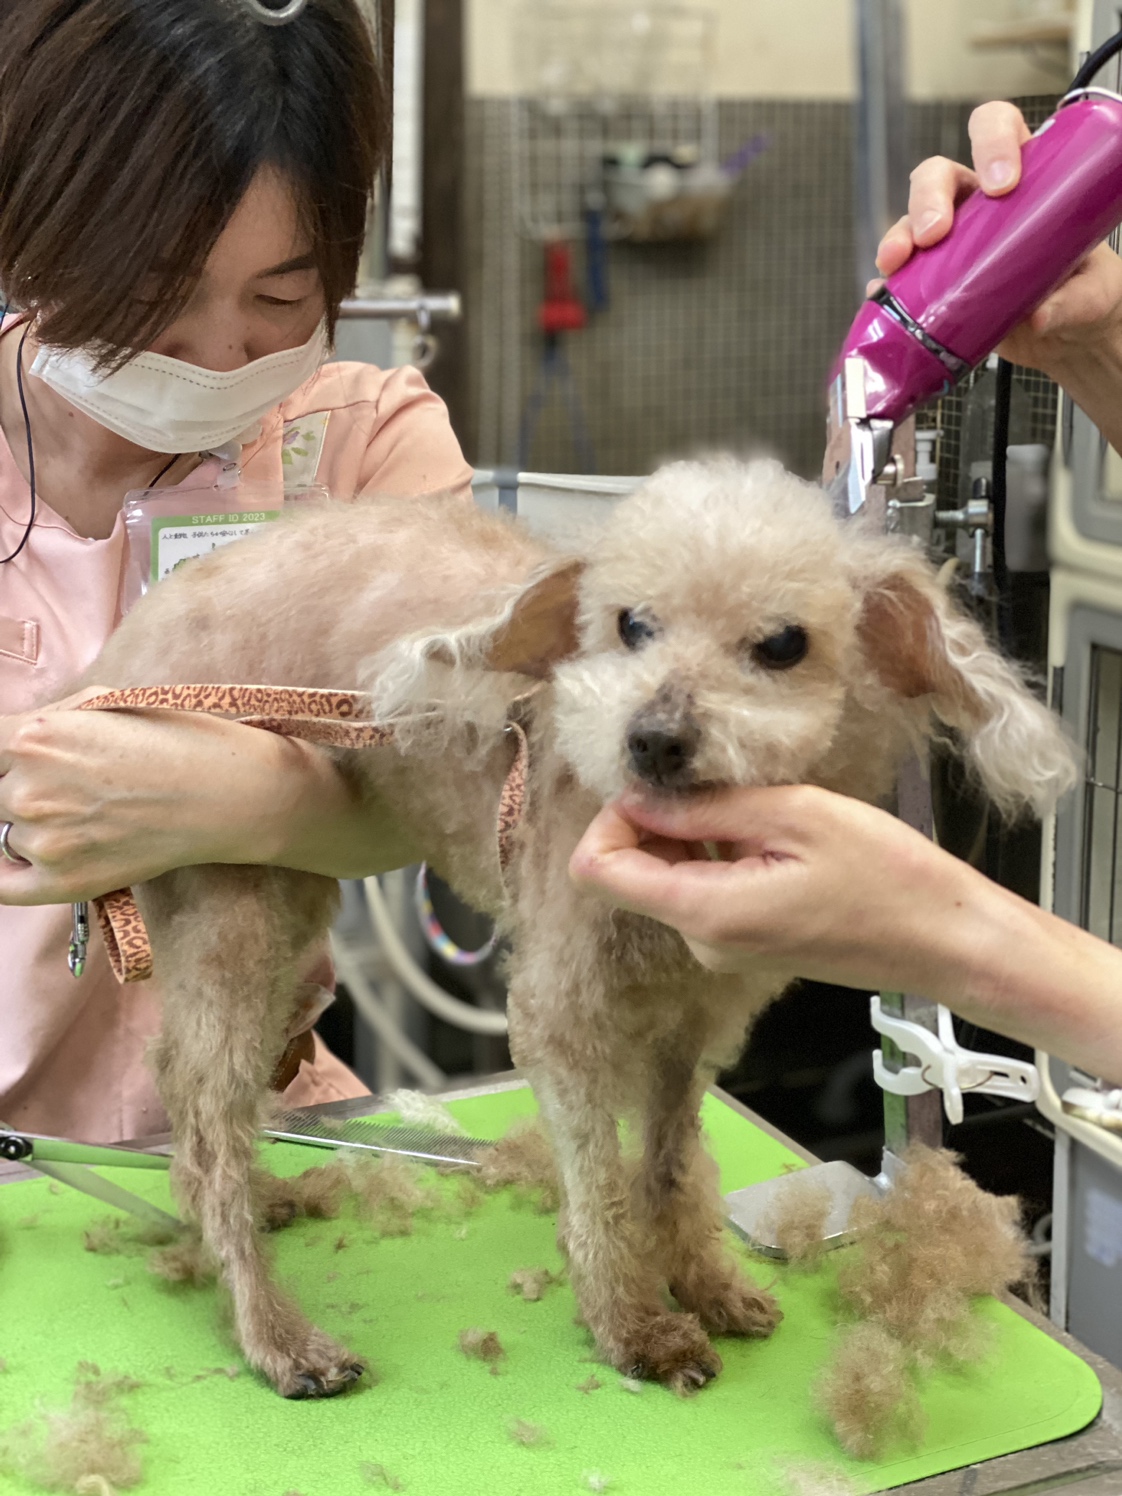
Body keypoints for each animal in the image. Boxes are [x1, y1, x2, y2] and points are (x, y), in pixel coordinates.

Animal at [72, 454, 1083, 1388]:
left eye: (784, 644)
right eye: (630, 626)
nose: (654, 739)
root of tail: (123, 651)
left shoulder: (699, 1022)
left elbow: (671, 1163)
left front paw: (704, 1284)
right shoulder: (563, 1016)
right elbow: (598, 1181)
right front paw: (633, 1326)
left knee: (183, 1077)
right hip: (237, 903)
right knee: (209, 1115)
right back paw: (273, 1330)